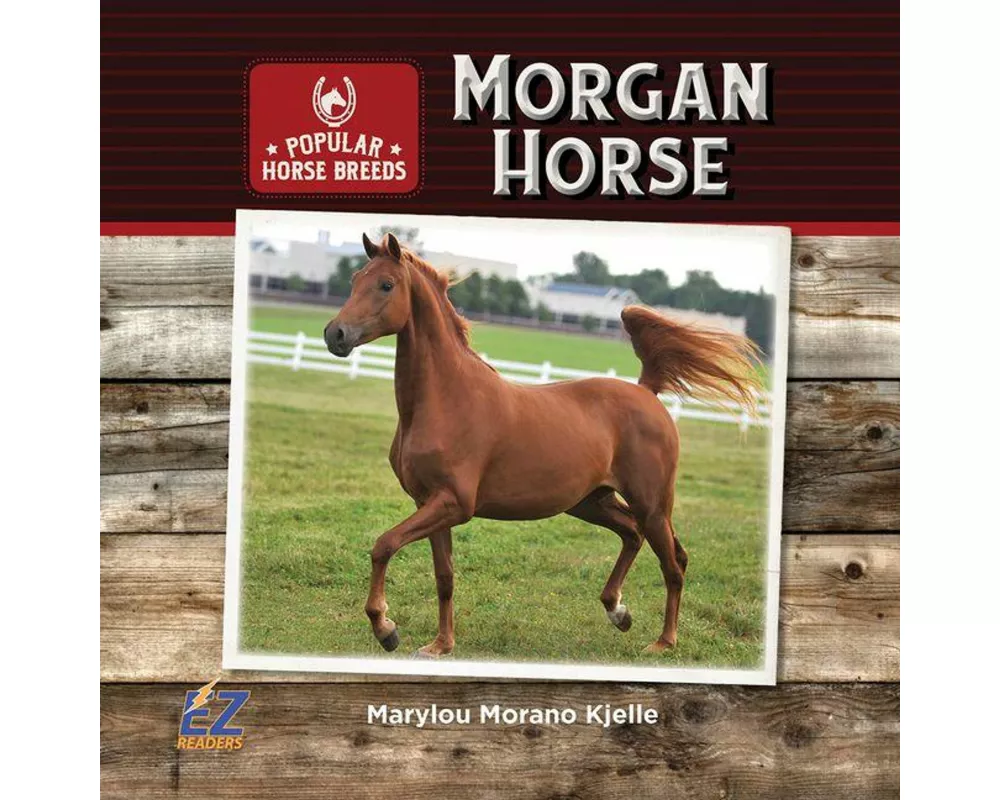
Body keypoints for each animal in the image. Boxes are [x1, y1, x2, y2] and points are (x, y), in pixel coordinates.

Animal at [324, 232, 763, 657]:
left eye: (386, 284)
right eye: (355, 279)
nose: (335, 334)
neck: (446, 399)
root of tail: (646, 391)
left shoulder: (453, 503)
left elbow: (383, 545)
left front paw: (386, 629)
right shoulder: (429, 503)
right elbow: (444, 576)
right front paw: (440, 645)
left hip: (652, 504)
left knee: (673, 563)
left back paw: (663, 642)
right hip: (591, 502)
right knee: (634, 535)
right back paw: (618, 611)